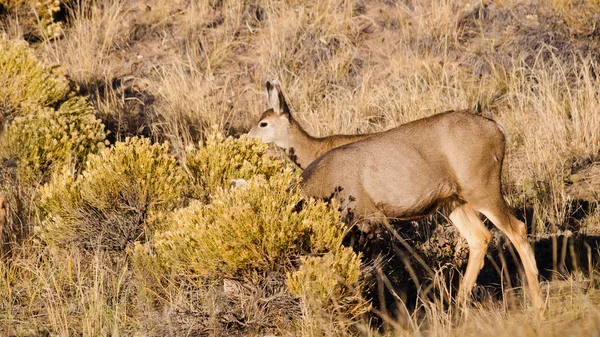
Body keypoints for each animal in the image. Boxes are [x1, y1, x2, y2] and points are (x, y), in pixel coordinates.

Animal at [247, 80, 544, 314]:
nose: (247, 137)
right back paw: (458, 306)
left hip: (481, 184)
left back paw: (537, 303)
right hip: (453, 200)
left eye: (263, 123)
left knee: (517, 229)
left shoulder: (368, 217)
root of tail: (498, 129)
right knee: (480, 237)